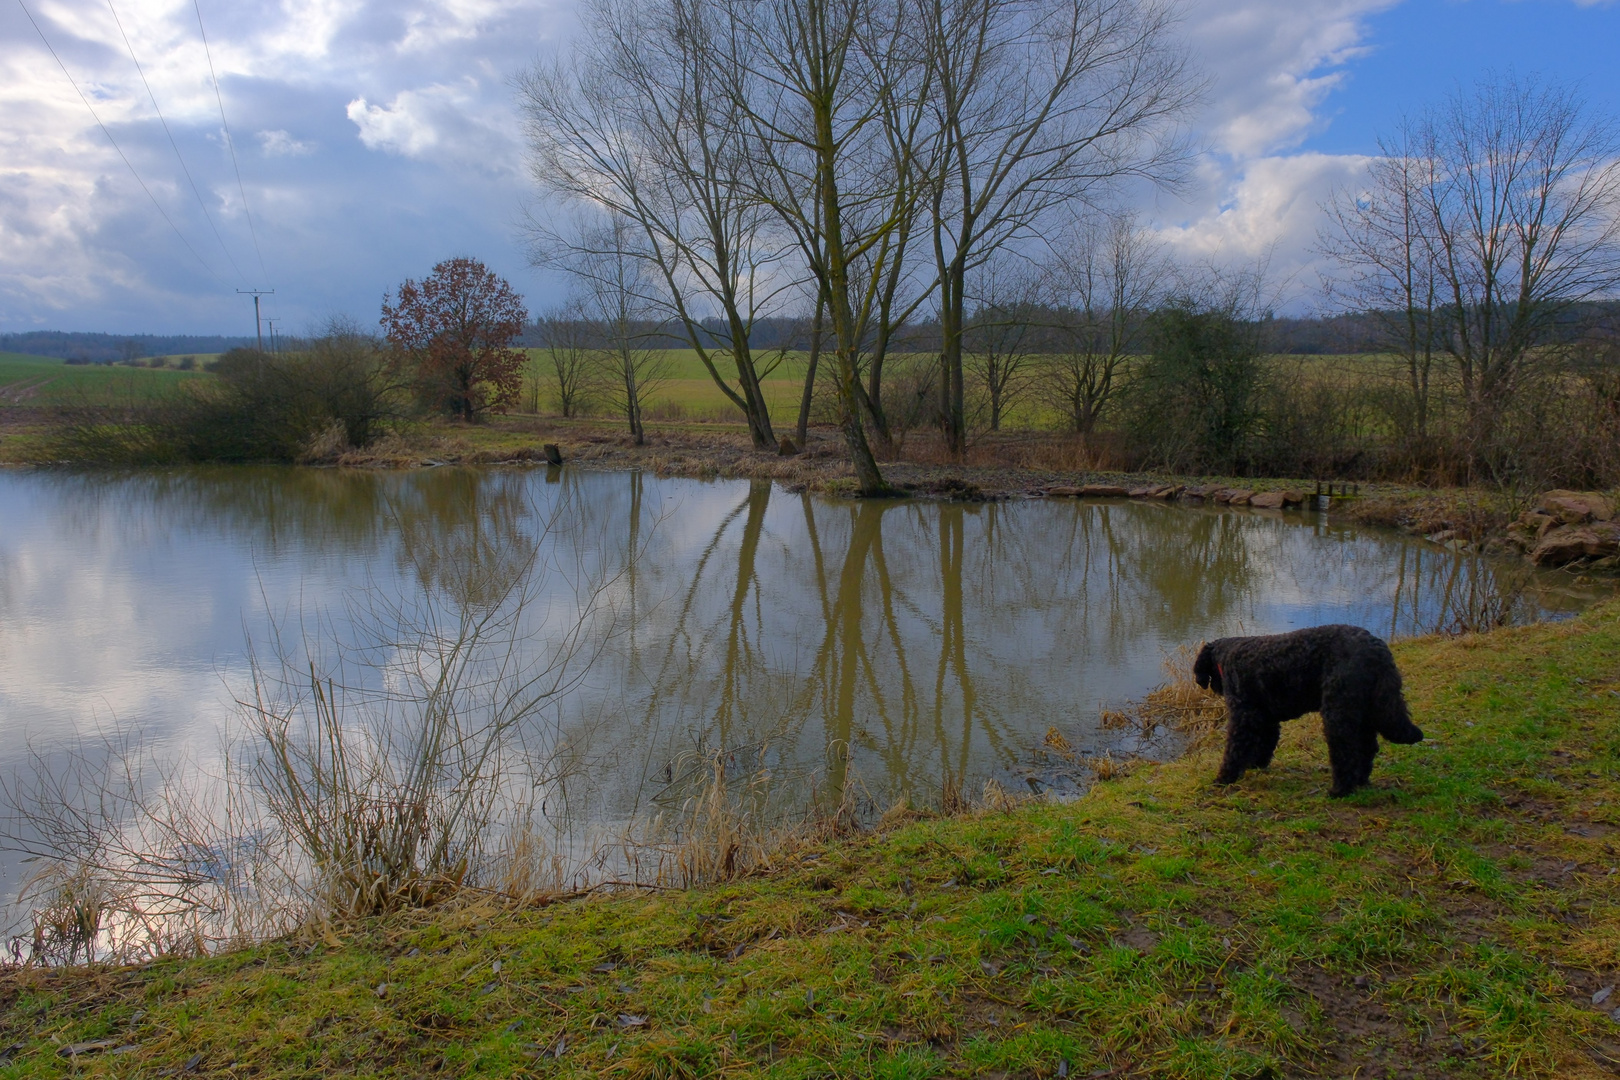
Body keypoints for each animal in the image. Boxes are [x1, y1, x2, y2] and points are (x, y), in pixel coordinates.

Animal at [1192, 625, 1419, 793]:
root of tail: (1377, 649)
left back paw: (1340, 790)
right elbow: (1265, 743)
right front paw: (1256, 763)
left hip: (1337, 713)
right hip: (1362, 711)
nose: (1211, 686)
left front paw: (1224, 777)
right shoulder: (1265, 717)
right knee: (1366, 748)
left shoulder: (1244, 716)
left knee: (1346, 752)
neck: (1227, 656)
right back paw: (1360, 781)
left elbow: (1234, 749)